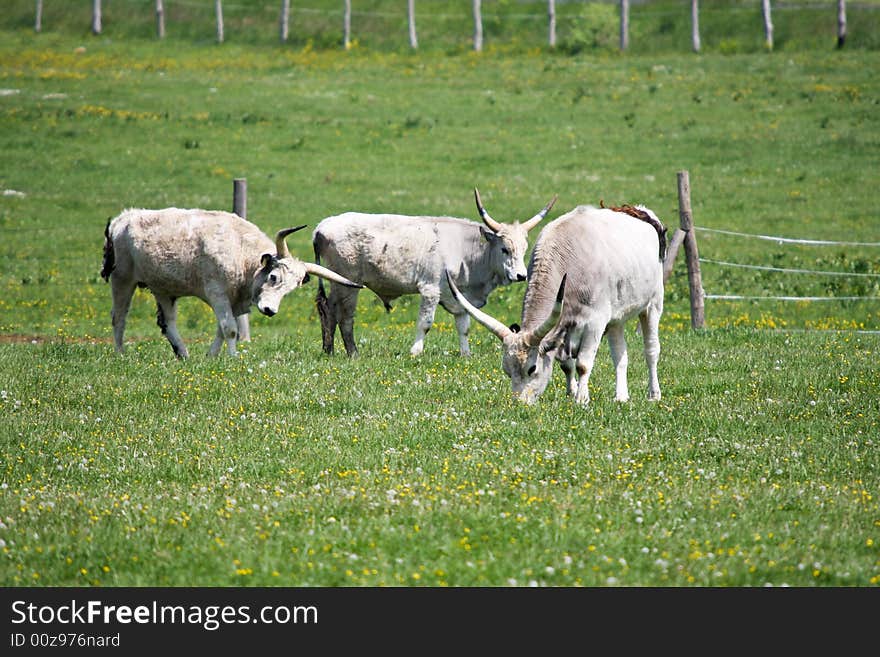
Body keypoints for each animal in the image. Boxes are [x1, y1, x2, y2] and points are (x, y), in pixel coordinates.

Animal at [101, 206, 362, 356]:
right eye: (273, 276)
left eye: (289, 290)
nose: (270, 310)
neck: (240, 251)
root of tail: (123, 219)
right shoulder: (217, 292)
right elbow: (230, 329)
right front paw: (234, 358)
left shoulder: (233, 301)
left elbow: (222, 328)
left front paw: (212, 357)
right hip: (122, 279)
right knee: (119, 317)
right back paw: (120, 354)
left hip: (164, 289)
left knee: (168, 323)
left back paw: (183, 354)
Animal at [446, 202, 668, 402]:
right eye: (507, 369)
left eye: (532, 369)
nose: (518, 403)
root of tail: (640, 212)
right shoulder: (565, 327)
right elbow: (567, 365)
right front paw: (571, 393)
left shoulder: (595, 322)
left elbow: (583, 364)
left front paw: (581, 399)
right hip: (616, 318)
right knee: (620, 355)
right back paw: (621, 397)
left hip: (653, 304)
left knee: (651, 350)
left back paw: (654, 394)